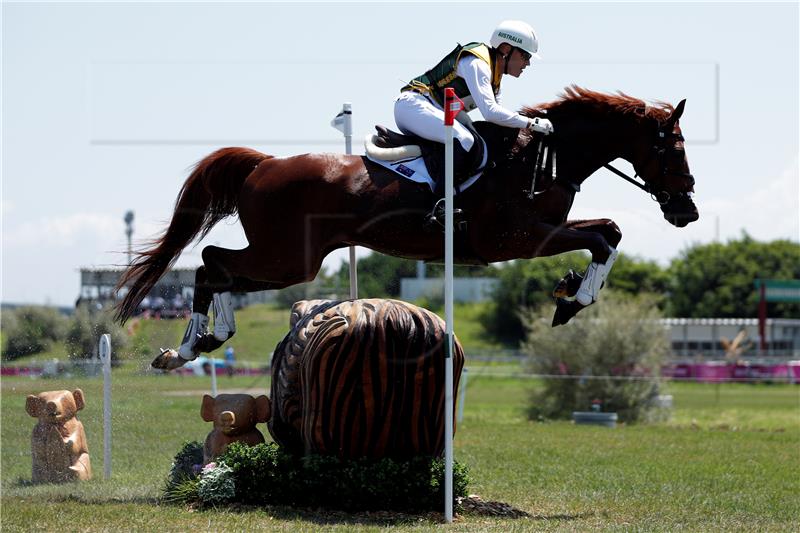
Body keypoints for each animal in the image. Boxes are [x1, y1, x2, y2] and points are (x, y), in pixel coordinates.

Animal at [114, 88, 700, 370]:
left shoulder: (544, 229)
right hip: (288, 258)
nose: (688, 211)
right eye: (673, 148)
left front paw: (571, 293)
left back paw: (206, 339)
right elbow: (601, 237)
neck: (542, 156)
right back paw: (189, 348)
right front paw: (572, 301)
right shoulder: (515, 239)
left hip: (288, 260)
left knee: (217, 267)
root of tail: (265, 164)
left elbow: (611, 232)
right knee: (212, 262)